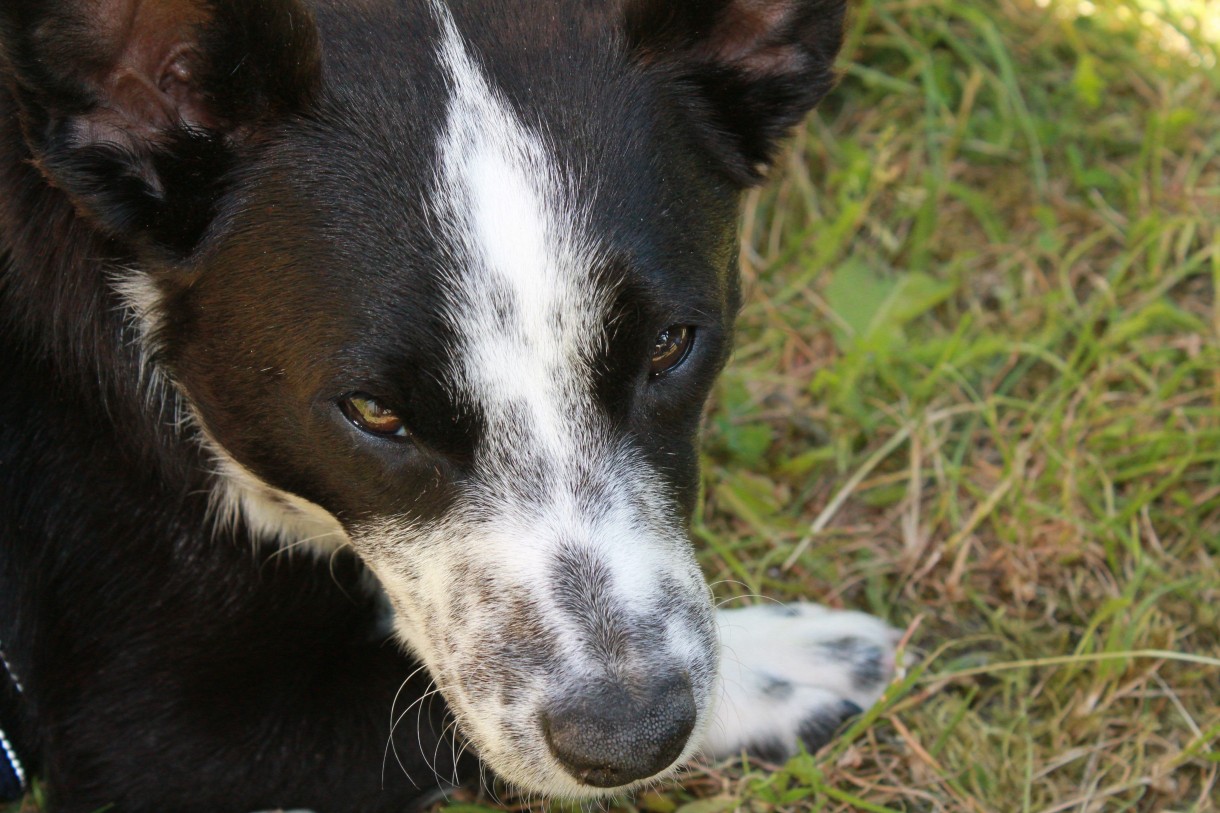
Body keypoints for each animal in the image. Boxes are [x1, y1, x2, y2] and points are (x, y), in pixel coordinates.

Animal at [0, 0, 902, 805]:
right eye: (372, 411)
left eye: (669, 345)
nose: (632, 739)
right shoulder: (157, 735)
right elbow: (425, 707)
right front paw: (789, 660)